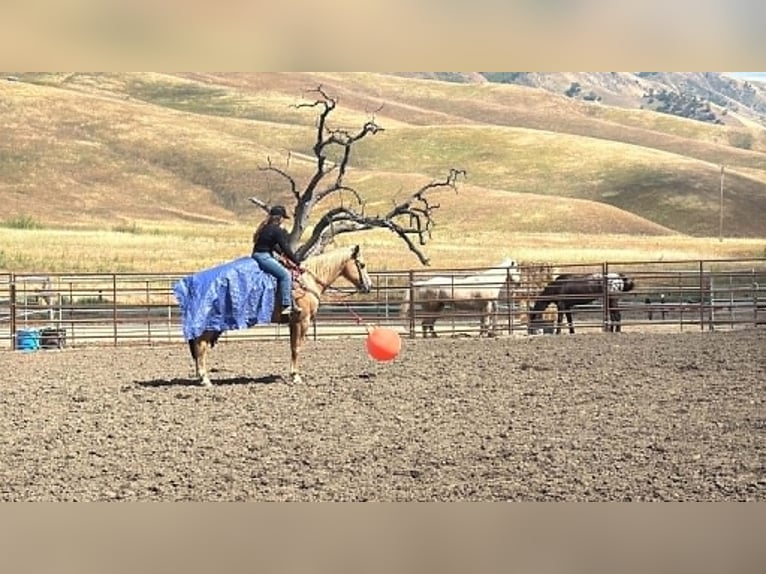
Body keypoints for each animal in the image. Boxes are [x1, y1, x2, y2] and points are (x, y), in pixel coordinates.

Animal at [180, 245, 373, 386]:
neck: (308, 281)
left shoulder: (292, 323)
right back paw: (205, 379)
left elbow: (292, 347)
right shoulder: (302, 321)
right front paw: (296, 376)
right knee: (200, 345)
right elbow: (297, 348)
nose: (369, 286)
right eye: (362, 265)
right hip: (209, 324)